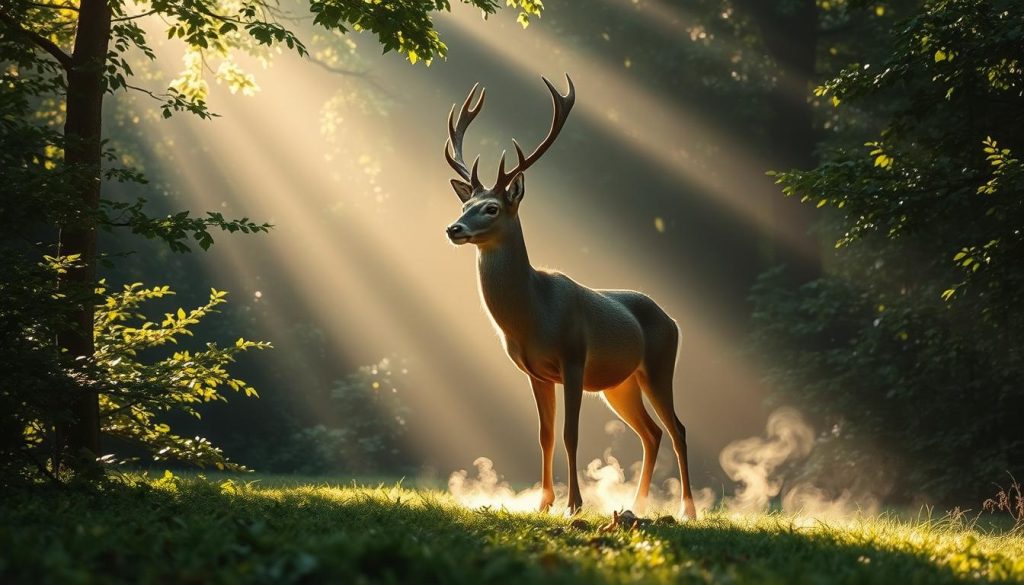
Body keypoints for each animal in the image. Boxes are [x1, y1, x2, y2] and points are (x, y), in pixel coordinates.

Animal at [442, 75, 697, 520]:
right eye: (466, 203)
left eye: (491, 208)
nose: (454, 228)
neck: (533, 315)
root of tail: (672, 319)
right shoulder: (535, 372)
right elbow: (544, 434)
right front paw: (543, 503)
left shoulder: (574, 356)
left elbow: (570, 434)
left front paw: (574, 505)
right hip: (620, 384)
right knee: (651, 432)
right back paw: (636, 504)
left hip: (660, 363)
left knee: (677, 428)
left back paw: (687, 510)